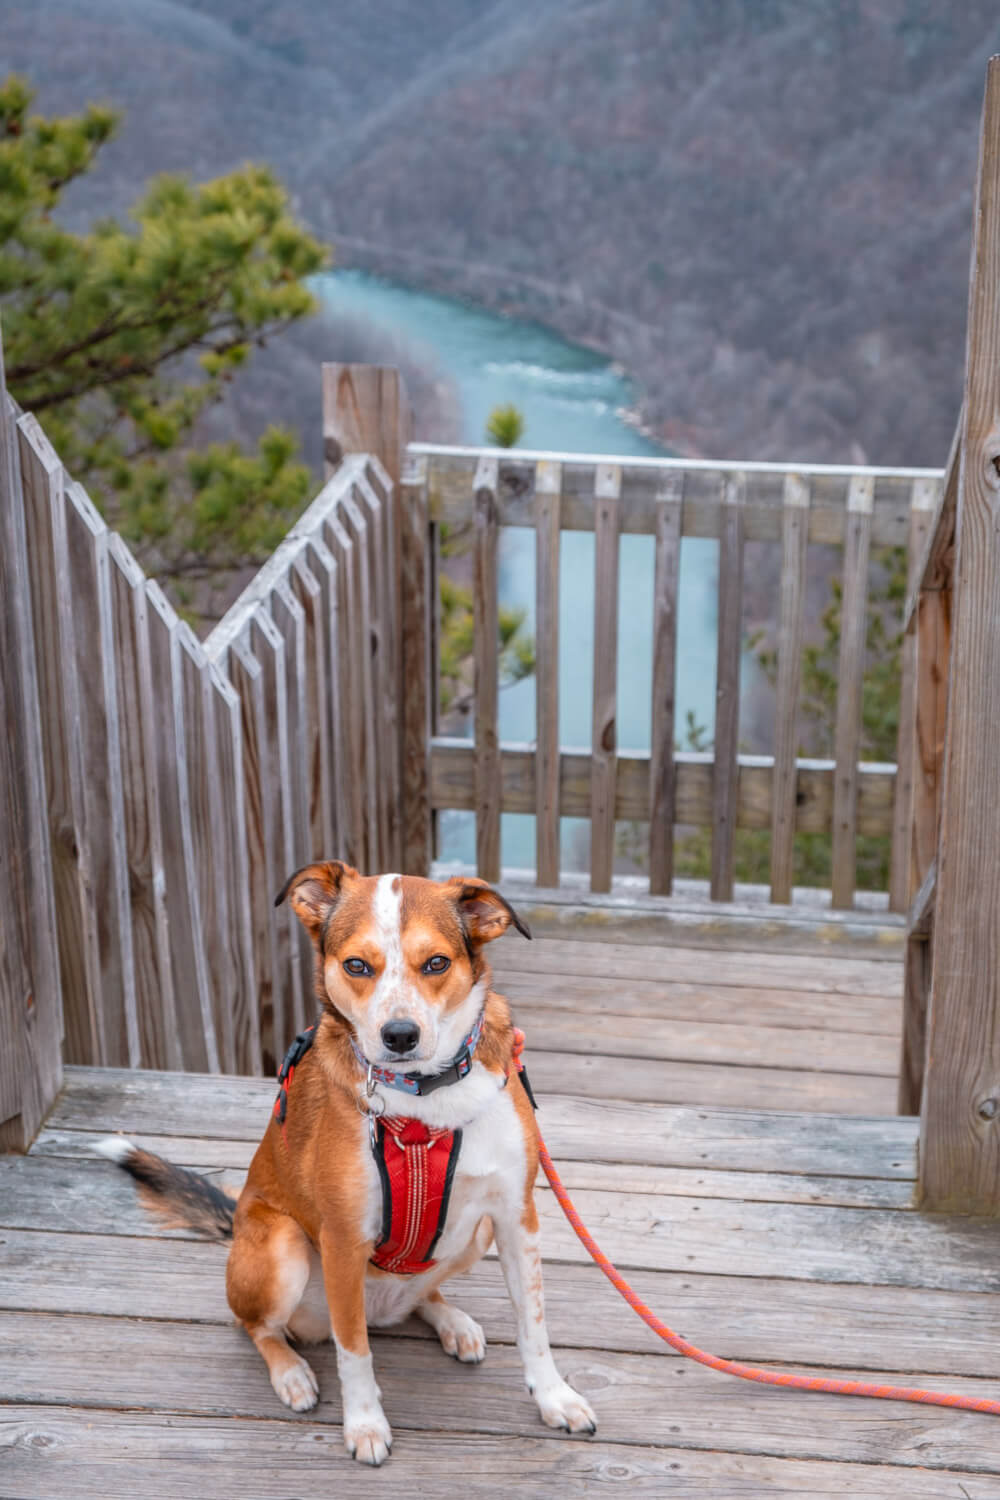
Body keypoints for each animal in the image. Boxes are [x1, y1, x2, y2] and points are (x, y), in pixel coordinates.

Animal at [100, 870, 599, 1464]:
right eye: (357, 965)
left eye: (436, 962)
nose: (400, 1035)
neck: (425, 1099)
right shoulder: (342, 1239)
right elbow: (354, 1351)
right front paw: (364, 1424)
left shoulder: (516, 1218)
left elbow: (534, 1325)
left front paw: (554, 1397)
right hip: (284, 1247)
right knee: (258, 1326)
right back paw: (291, 1373)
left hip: (472, 1235)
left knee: (420, 1296)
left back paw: (451, 1321)